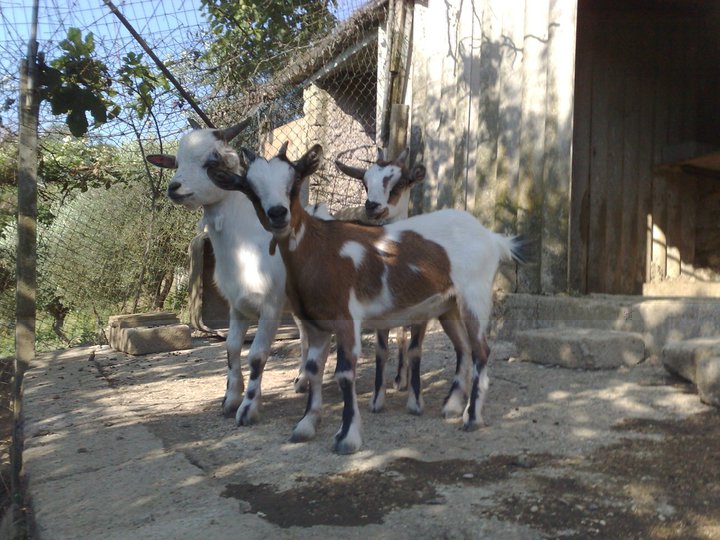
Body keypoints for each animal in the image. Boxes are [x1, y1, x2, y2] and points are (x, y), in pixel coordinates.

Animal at [146, 122, 286, 427]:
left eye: (212, 161)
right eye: (176, 162)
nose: (174, 188)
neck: (249, 244)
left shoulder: (271, 306)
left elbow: (257, 355)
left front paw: (248, 409)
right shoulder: (237, 306)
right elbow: (232, 348)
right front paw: (231, 399)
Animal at [207, 143, 527, 454]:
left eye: (294, 180)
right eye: (250, 188)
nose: (277, 213)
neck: (320, 249)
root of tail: (491, 237)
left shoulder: (347, 318)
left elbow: (344, 373)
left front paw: (347, 437)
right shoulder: (315, 324)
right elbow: (313, 370)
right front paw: (306, 425)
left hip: (475, 296)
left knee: (481, 350)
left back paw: (472, 417)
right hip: (447, 305)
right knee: (464, 348)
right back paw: (452, 406)